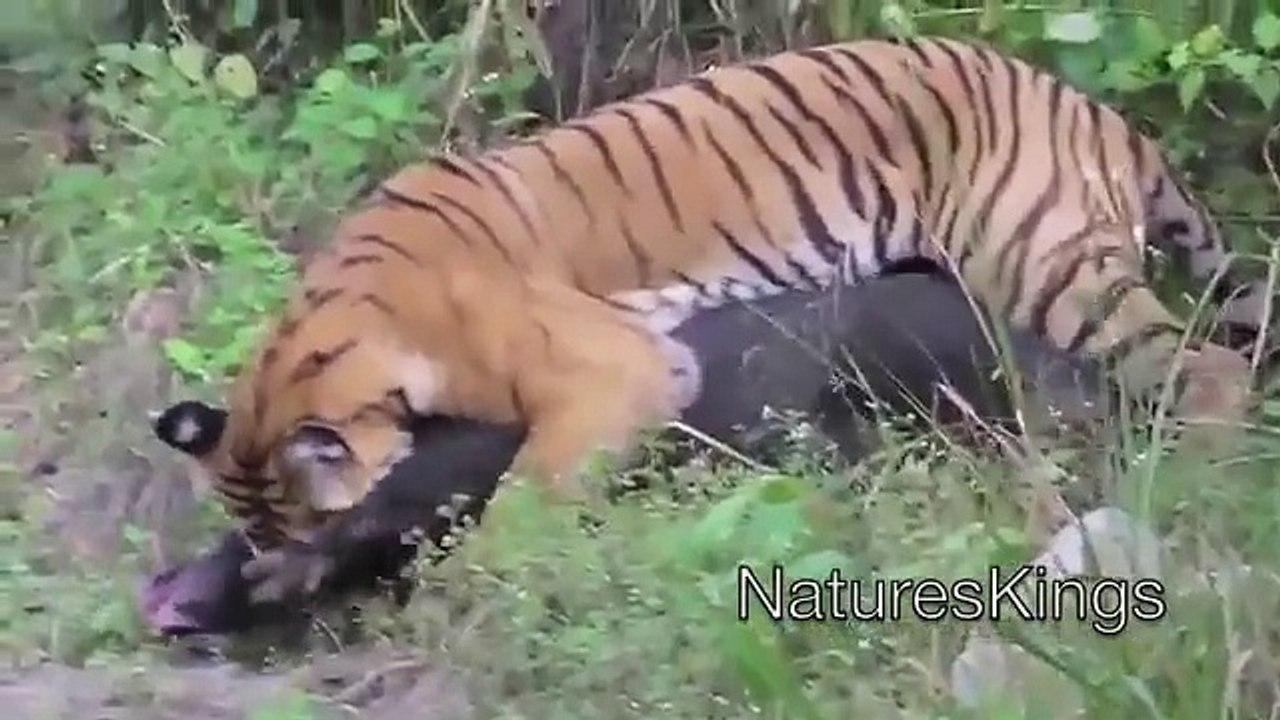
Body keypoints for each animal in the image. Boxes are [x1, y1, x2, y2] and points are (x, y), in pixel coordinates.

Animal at [159, 35, 1267, 558]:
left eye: (312, 533)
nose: (269, 576)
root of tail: (1089, 107)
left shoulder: (619, 368)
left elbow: (523, 500)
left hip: (1047, 266)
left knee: (1210, 367)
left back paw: (1199, 485)